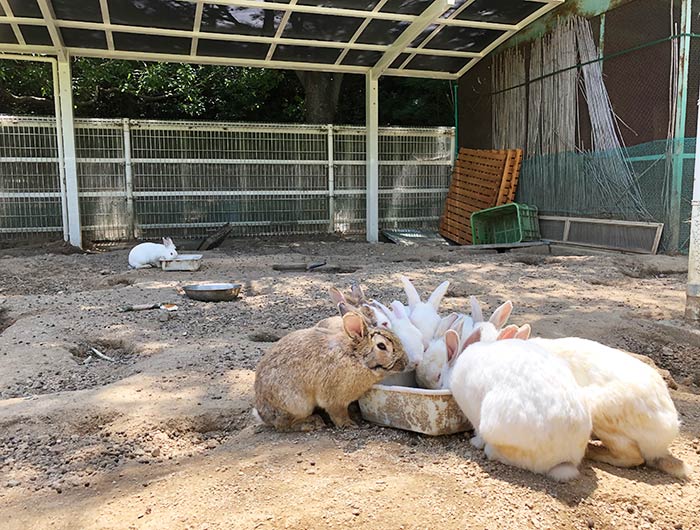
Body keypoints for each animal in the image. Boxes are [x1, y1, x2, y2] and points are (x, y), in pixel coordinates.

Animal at [253, 310, 408, 428]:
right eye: (382, 346)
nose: (405, 363)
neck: (356, 358)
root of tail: (263, 415)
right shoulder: (335, 398)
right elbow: (337, 413)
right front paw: (349, 424)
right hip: (296, 403)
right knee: (285, 424)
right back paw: (313, 423)